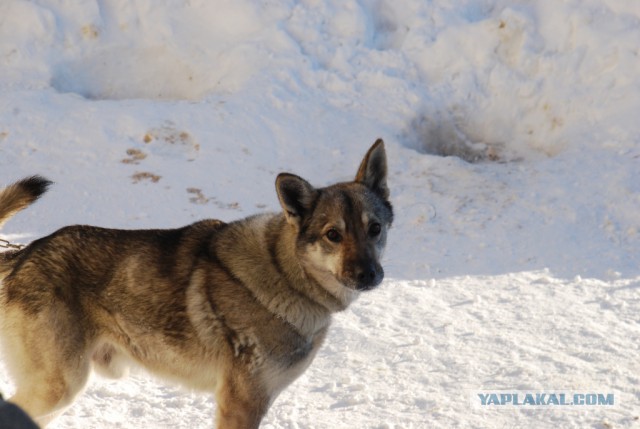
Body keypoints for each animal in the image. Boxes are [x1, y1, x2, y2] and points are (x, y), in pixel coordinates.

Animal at [0, 140, 392, 424]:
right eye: (332, 235)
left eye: (375, 228)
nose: (369, 275)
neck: (285, 275)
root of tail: (25, 253)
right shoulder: (241, 403)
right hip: (59, 386)